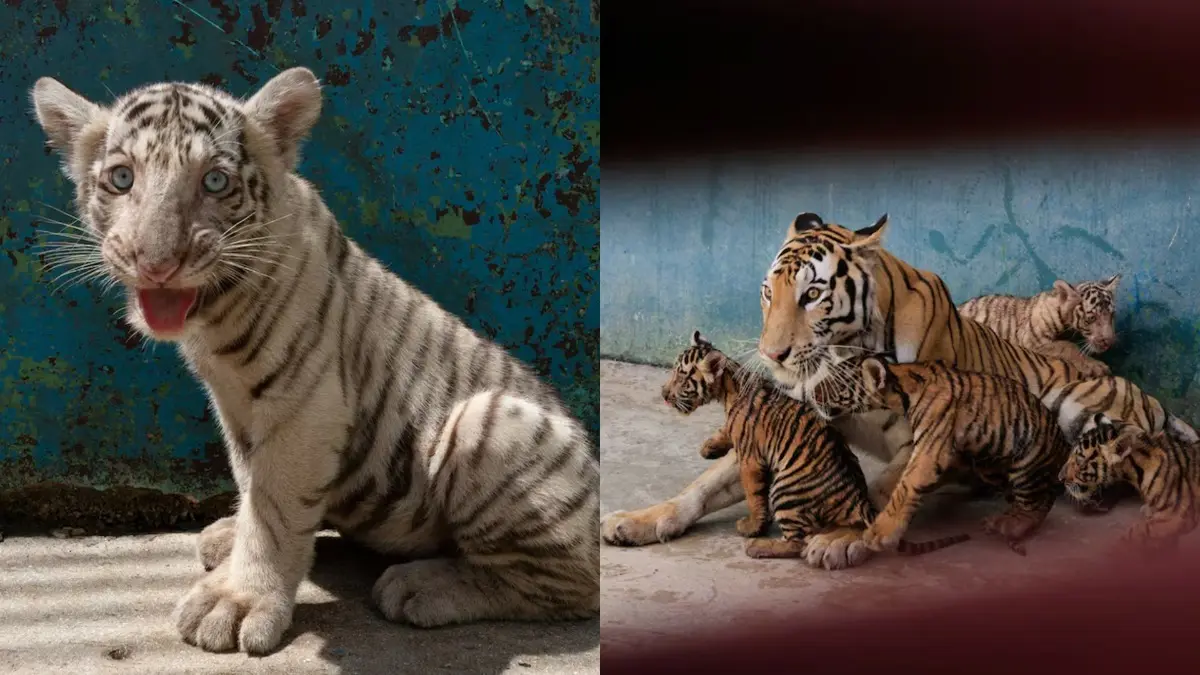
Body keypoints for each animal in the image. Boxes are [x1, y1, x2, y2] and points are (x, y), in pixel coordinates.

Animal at [31, 68, 599, 654]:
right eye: (122, 178)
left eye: (215, 182)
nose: (157, 264)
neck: (216, 315)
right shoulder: (234, 406)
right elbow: (250, 480)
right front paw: (234, 539)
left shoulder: (304, 404)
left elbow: (274, 508)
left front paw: (236, 600)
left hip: (489, 421)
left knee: (571, 585)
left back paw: (424, 586)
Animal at [661, 333, 970, 568]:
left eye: (681, 376)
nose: (663, 394)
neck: (729, 388)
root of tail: (856, 500)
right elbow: (725, 433)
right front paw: (709, 447)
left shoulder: (751, 458)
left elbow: (753, 495)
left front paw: (751, 526)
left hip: (785, 491)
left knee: (798, 543)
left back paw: (759, 546)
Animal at [808, 355, 1071, 555]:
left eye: (836, 384)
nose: (812, 394)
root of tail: (1065, 445)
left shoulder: (929, 447)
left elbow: (904, 487)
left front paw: (878, 534)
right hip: (989, 464)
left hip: (1026, 464)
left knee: (1040, 502)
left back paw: (1010, 525)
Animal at [957, 274, 1121, 377]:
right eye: (1091, 318)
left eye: (1112, 315)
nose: (1109, 341)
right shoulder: (1032, 341)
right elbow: (1067, 346)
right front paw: (1095, 366)